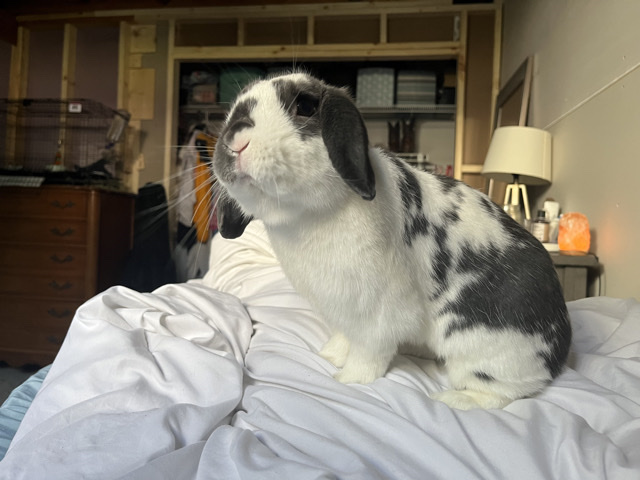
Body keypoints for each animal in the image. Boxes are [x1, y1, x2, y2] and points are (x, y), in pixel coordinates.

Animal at [212, 72, 572, 410]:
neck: (307, 215)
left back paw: (455, 400)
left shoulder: (377, 316)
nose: (233, 141)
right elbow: (344, 337)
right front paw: (329, 355)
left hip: (482, 350)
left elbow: (369, 353)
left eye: (305, 106)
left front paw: (347, 379)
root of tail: (560, 347)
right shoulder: (344, 312)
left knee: (503, 392)